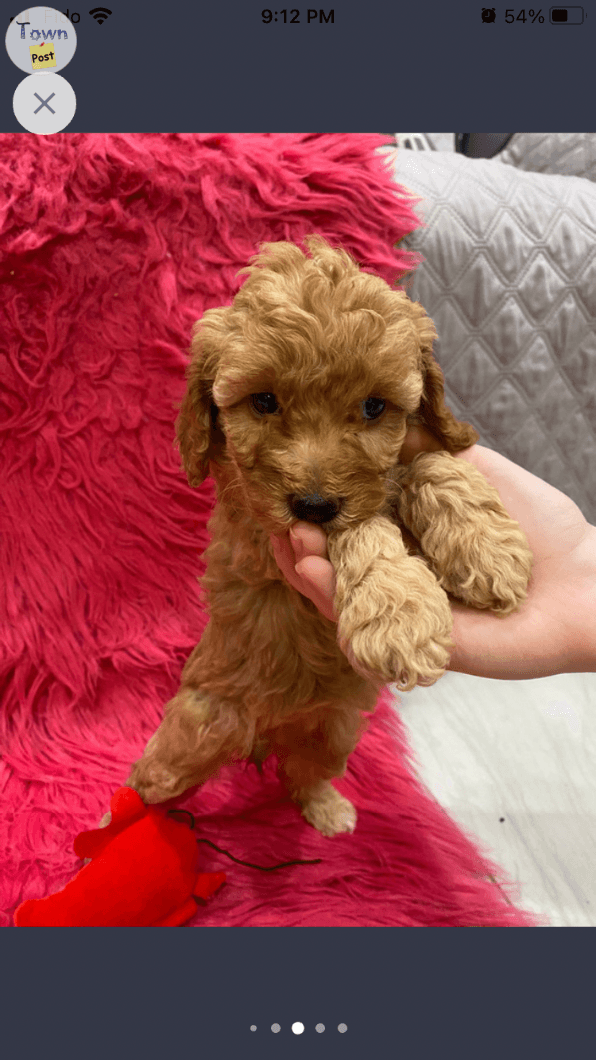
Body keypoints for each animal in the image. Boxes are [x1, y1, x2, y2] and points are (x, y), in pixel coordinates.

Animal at [125, 238, 528, 835]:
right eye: (264, 402)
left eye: (374, 407)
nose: (315, 506)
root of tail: (263, 733)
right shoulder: (263, 532)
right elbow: (363, 525)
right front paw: (401, 619)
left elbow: (427, 463)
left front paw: (491, 550)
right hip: (203, 723)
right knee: (160, 773)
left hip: (335, 731)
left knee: (304, 772)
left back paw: (328, 810)